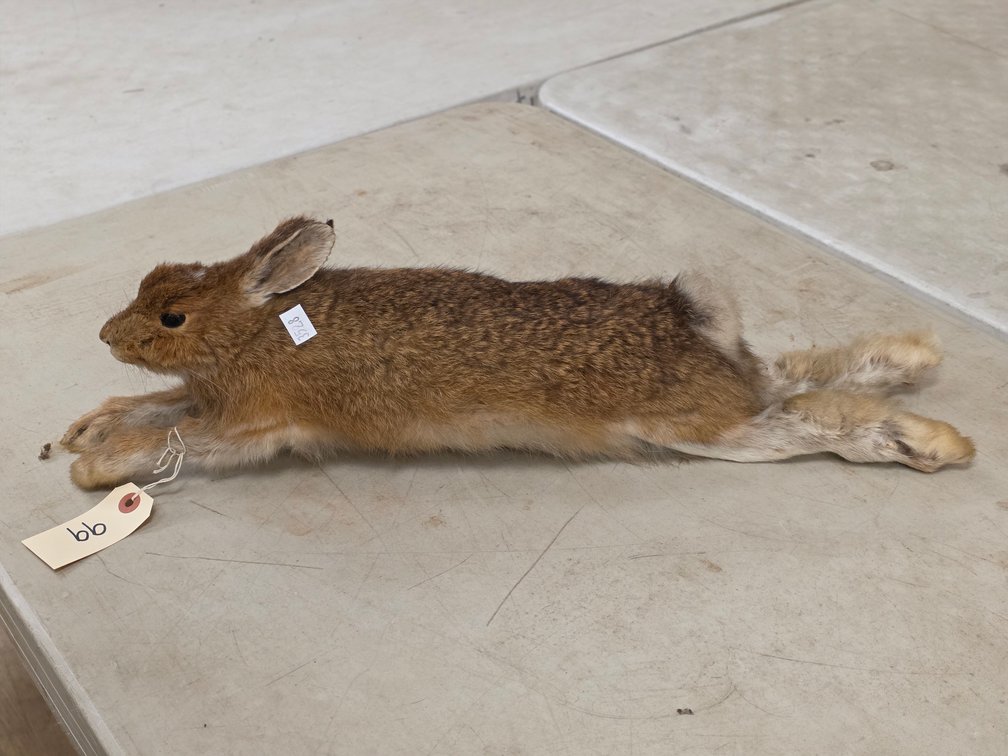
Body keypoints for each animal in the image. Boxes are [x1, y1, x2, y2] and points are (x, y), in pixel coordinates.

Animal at [61, 216, 975, 489]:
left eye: (171, 314)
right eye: (150, 282)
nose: (105, 336)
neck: (252, 328)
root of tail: (697, 324)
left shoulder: (254, 426)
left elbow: (177, 435)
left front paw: (93, 469)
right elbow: (155, 406)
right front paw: (82, 431)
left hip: (694, 428)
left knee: (802, 421)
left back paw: (931, 442)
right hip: (724, 395)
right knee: (786, 376)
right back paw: (911, 360)